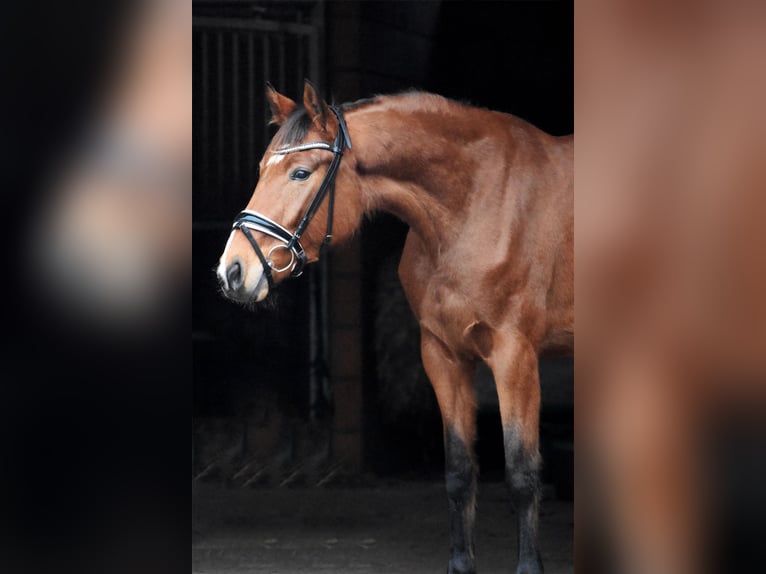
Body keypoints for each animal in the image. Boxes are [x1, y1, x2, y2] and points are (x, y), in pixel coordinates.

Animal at [219, 82, 572, 574]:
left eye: (300, 173)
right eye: (259, 170)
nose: (232, 271)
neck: (474, 205)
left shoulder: (514, 357)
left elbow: (522, 473)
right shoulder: (442, 355)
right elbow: (459, 472)